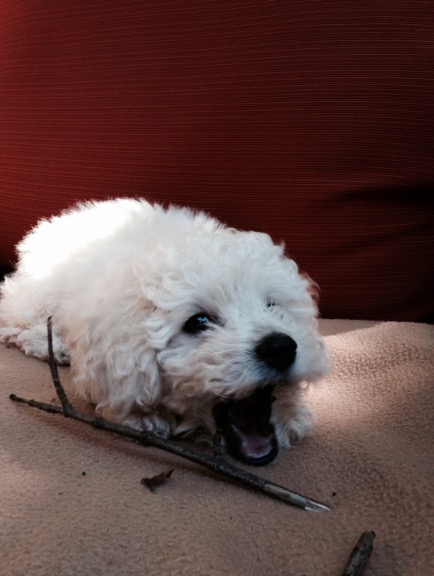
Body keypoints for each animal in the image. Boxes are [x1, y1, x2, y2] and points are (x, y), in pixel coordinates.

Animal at [0, 198, 330, 465]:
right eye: (198, 322)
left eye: (273, 306)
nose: (280, 348)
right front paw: (146, 418)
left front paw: (294, 416)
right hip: (38, 292)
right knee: (11, 314)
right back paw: (50, 344)